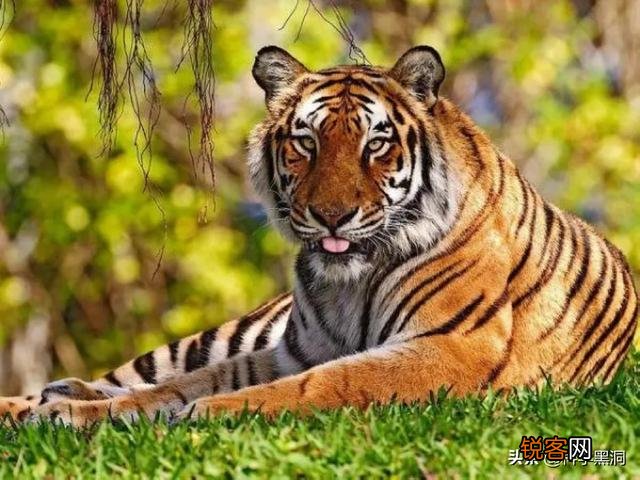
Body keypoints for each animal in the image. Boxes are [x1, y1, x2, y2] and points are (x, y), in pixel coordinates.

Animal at [0, 45, 637, 427]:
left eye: (376, 143)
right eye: (305, 142)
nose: (331, 215)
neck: (349, 281)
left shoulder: (450, 347)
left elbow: (320, 385)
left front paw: (204, 413)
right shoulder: (291, 349)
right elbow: (181, 384)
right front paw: (82, 414)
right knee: (129, 375)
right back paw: (48, 399)